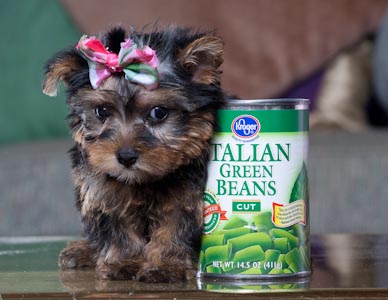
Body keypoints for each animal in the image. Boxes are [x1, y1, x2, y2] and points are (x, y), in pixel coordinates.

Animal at [41, 25, 224, 282]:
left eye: (158, 112)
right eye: (101, 111)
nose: (125, 157)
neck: (144, 180)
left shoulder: (188, 195)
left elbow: (173, 227)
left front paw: (165, 266)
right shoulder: (103, 191)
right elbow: (120, 228)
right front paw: (125, 262)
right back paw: (84, 250)